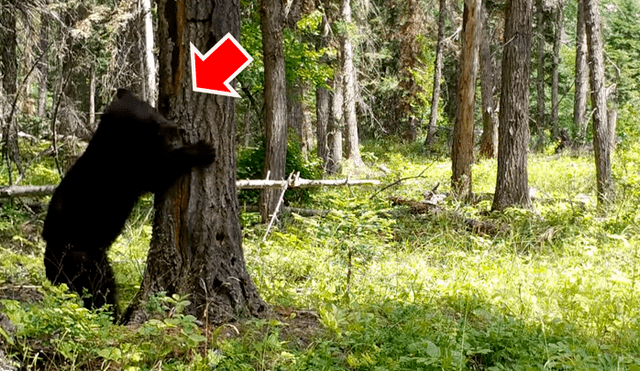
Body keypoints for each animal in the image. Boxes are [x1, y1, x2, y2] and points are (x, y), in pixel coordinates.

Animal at [43, 89, 216, 316]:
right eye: (153, 121)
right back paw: (114, 315)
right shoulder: (125, 168)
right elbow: (157, 172)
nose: (175, 127)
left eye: (153, 109)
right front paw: (203, 150)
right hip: (81, 256)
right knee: (99, 288)